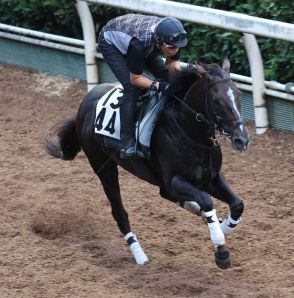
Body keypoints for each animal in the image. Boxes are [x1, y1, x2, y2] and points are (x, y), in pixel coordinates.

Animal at [44, 58, 249, 270]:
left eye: (238, 94)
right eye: (217, 100)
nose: (242, 139)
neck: (187, 131)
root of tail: (84, 104)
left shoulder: (211, 177)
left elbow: (237, 204)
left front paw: (223, 227)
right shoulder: (174, 181)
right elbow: (207, 202)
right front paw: (221, 251)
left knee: (166, 196)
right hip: (103, 165)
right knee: (119, 211)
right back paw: (139, 255)